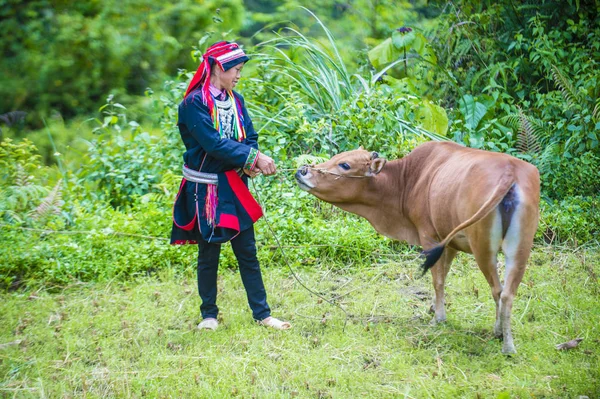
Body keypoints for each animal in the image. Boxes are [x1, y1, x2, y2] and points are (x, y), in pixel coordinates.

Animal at [296, 142, 540, 354]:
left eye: (345, 165)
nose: (302, 171)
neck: (408, 179)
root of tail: (510, 172)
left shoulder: (429, 237)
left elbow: (437, 279)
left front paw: (438, 317)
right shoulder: (448, 242)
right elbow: (444, 274)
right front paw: (434, 307)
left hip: (483, 248)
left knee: (498, 290)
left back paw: (502, 338)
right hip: (520, 249)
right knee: (508, 293)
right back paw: (508, 342)